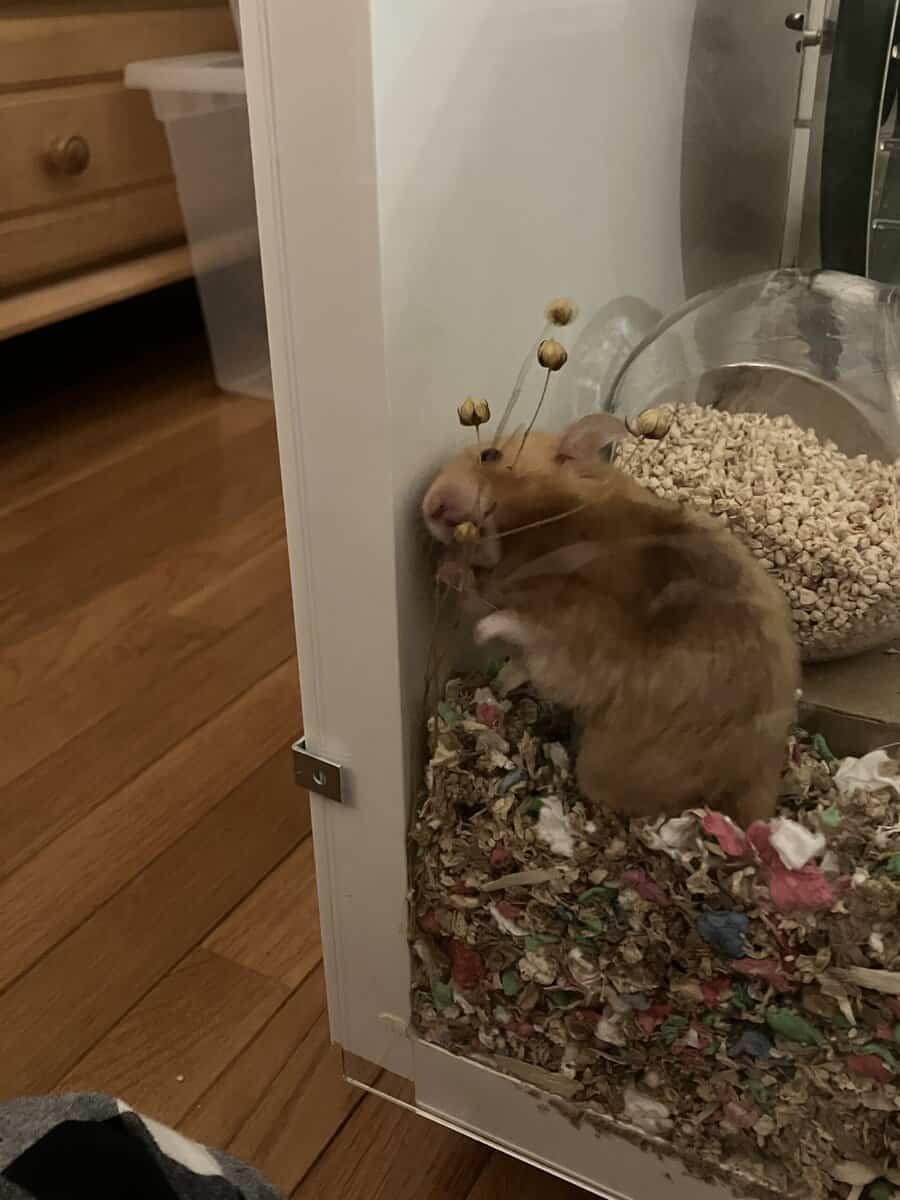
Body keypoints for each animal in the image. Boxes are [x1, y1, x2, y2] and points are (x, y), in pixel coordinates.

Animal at [422, 414, 800, 827]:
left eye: (490, 455)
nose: (428, 506)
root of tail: (761, 803)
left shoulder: (567, 626)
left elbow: (505, 619)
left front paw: (472, 617)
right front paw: (448, 569)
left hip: (607, 759)